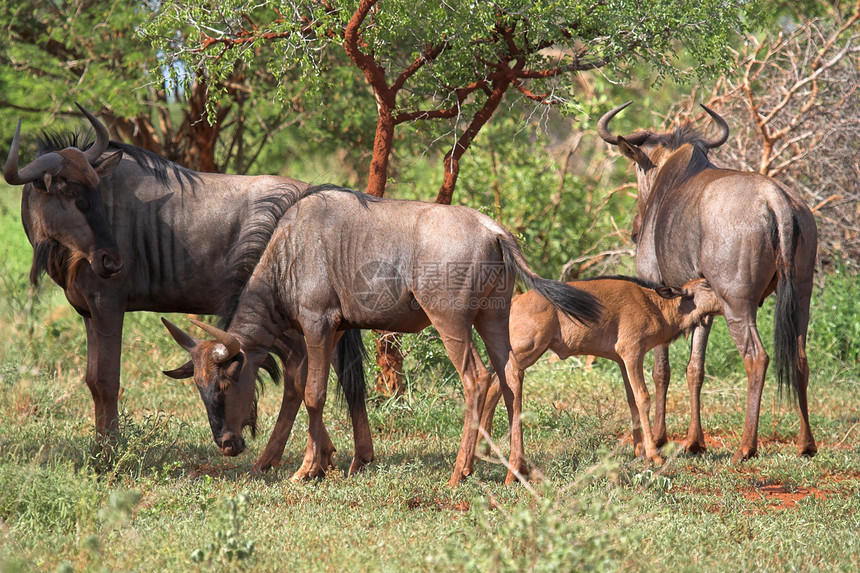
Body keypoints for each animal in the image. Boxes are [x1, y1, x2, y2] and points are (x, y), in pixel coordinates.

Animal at [480, 274, 724, 462]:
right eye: (706, 284)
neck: (655, 305)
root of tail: (515, 303)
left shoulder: (622, 360)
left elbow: (631, 400)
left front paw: (638, 451)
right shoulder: (632, 353)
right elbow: (643, 398)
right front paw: (653, 455)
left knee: (495, 387)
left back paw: (482, 449)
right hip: (525, 352)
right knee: (496, 387)